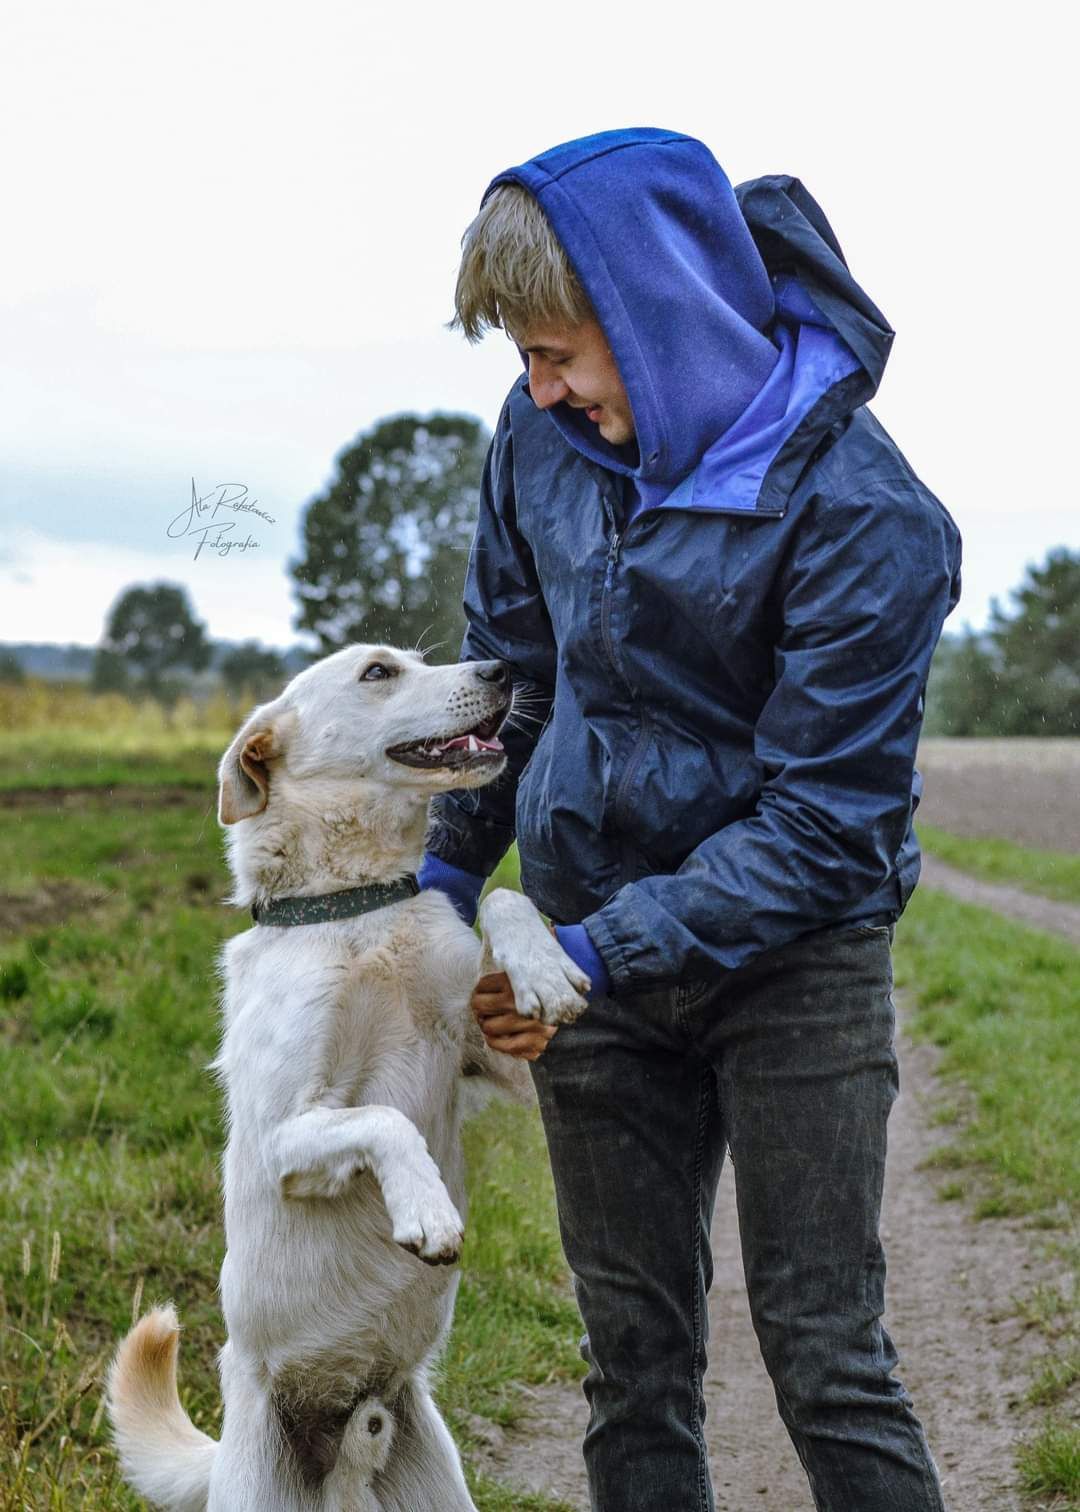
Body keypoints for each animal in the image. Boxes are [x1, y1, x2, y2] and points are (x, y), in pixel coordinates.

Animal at [105, 647, 583, 1512]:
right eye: (378, 672)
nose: (502, 667)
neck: (357, 911)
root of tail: (344, 1445)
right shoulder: (283, 1136)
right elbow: (383, 1121)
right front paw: (427, 1210)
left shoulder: (496, 1052)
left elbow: (504, 897)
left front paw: (544, 967)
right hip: (256, 1481)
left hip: (436, 1480)